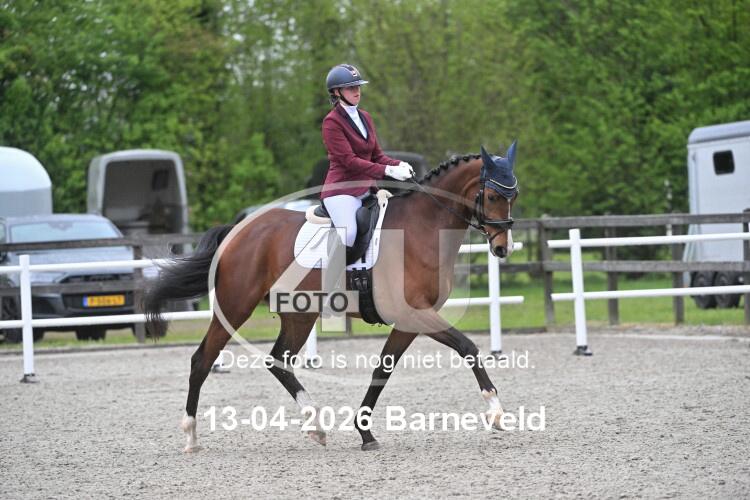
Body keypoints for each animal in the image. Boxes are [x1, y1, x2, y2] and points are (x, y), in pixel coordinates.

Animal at [144, 143, 519, 452]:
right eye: (493, 196)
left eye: (513, 196)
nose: (503, 248)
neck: (423, 227)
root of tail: (237, 231)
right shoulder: (414, 312)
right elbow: (467, 346)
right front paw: (496, 412)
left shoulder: (409, 320)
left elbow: (383, 369)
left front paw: (365, 431)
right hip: (236, 306)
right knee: (203, 360)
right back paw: (191, 435)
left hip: (299, 313)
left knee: (278, 361)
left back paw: (315, 425)